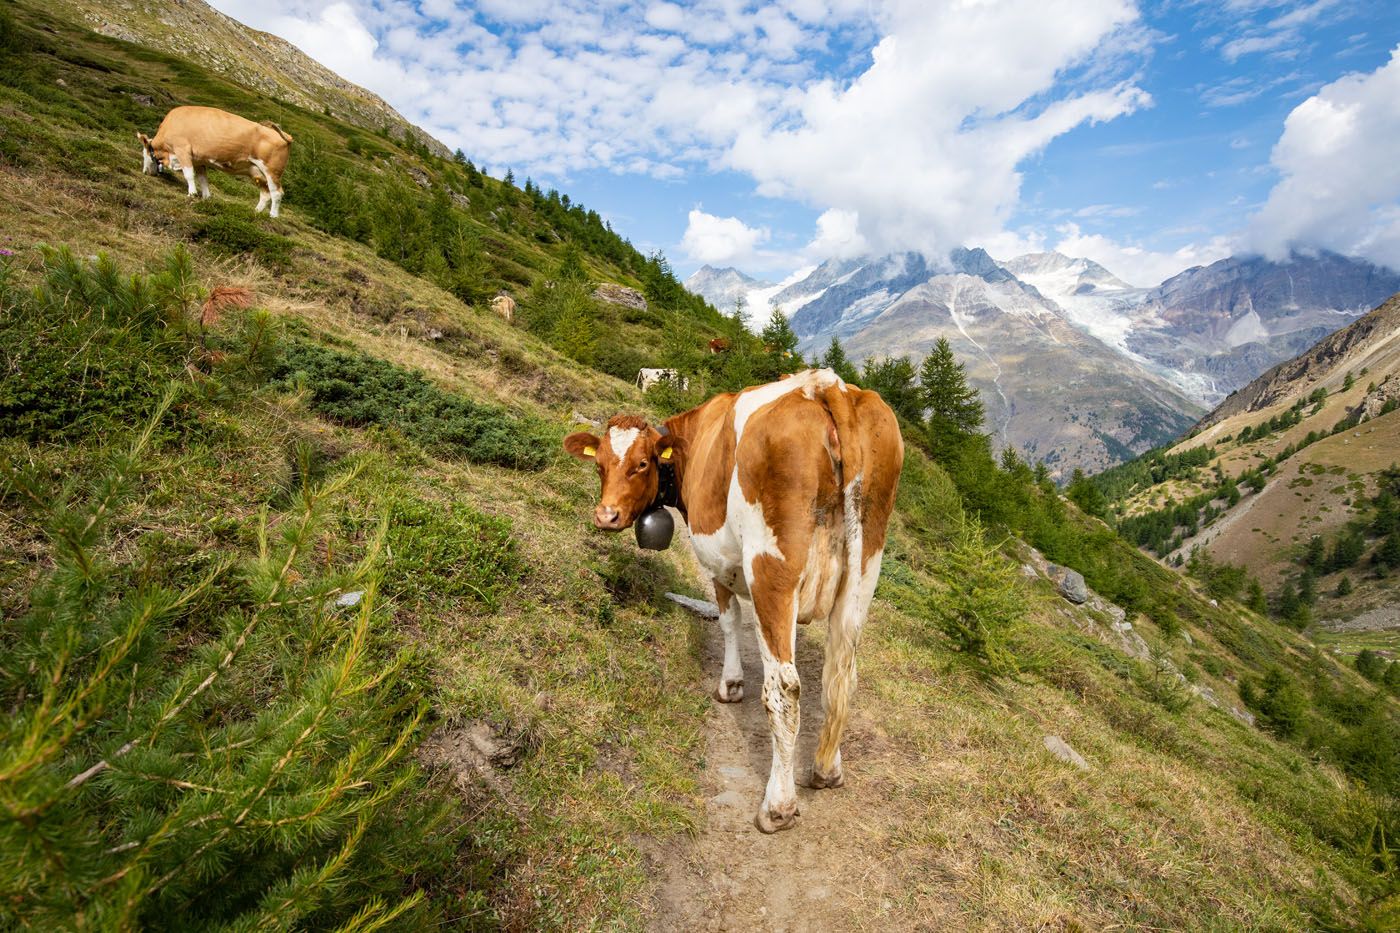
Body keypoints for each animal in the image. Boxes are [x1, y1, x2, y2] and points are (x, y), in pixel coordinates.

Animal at [137, 105, 294, 215]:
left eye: (144, 154)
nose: (145, 172)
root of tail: (282, 134)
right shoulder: (199, 160)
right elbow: (202, 179)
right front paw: (206, 197)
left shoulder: (182, 150)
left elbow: (189, 175)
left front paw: (191, 194)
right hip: (256, 172)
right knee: (265, 193)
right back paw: (256, 212)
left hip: (272, 171)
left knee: (277, 192)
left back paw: (272, 215)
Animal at [562, 367, 901, 829]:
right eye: (599, 465)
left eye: (642, 463)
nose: (606, 516)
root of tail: (827, 385)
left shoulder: (718, 562)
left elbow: (729, 621)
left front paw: (731, 684)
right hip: (864, 571)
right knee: (843, 673)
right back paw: (826, 768)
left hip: (769, 566)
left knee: (785, 687)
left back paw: (778, 806)